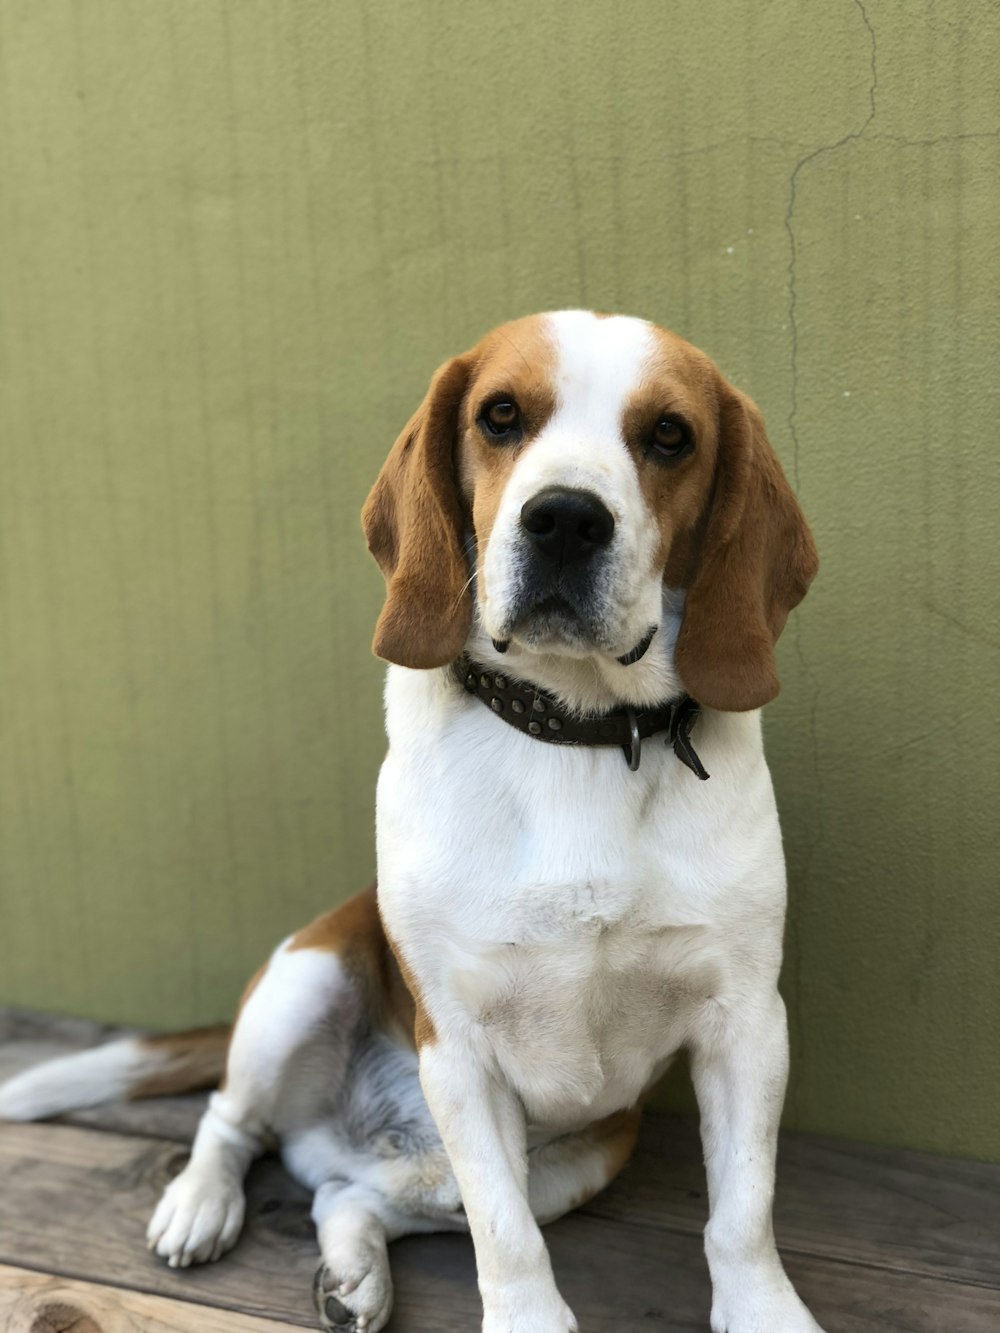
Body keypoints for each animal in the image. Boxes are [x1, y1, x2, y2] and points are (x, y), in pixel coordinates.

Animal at [0, 314, 826, 1333]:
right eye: (500, 415)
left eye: (671, 435)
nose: (565, 518)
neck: (576, 732)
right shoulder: (459, 1046)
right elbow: (506, 1240)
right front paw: (529, 1321)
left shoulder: (746, 1021)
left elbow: (741, 1211)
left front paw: (764, 1310)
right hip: (303, 980)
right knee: (234, 1121)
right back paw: (200, 1202)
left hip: (584, 1157)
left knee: (346, 1193)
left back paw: (353, 1272)